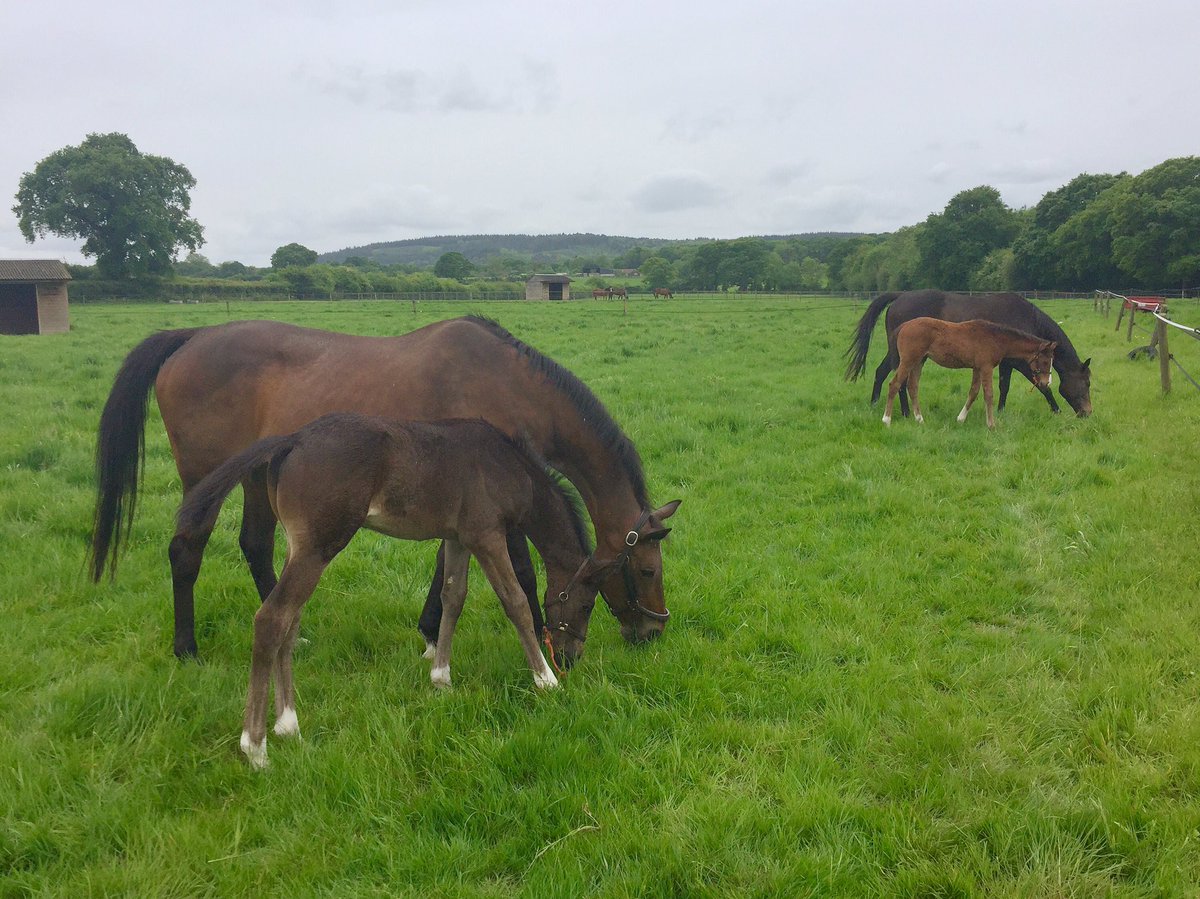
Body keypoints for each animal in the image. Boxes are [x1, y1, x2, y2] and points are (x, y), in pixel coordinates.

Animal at [90, 316, 680, 660]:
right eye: (647, 571)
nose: (654, 634)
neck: (510, 385)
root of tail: (191, 337)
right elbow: (522, 570)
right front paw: (533, 632)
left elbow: (446, 564)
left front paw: (429, 628)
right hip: (204, 479)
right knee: (186, 551)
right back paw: (186, 649)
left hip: (256, 476)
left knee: (255, 545)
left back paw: (293, 637)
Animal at [175, 413, 618, 768]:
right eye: (587, 605)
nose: (571, 658)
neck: (508, 466)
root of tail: (292, 440)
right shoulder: (487, 536)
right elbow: (515, 602)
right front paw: (546, 681)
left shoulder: (458, 537)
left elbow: (453, 597)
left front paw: (441, 677)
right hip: (319, 547)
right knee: (272, 618)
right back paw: (256, 746)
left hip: (299, 547)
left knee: (290, 620)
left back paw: (288, 724)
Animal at [845, 290, 1091, 418]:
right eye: (1087, 383)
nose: (1087, 412)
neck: (1027, 319)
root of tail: (900, 297)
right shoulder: (1021, 362)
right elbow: (1041, 386)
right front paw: (1056, 409)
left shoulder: (1006, 362)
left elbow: (1004, 386)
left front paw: (1000, 410)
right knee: (900, 380)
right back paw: (904, 413)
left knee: (881, 373)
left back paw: (876, 404)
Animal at [882, 318, 1057, 430]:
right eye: (1045, 361)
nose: (1046, 383)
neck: (996, 338)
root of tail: (904, 326)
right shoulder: (986, 367)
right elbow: (988, 394)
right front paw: (991, 425)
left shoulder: (977, 368)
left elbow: (973, 392)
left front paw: (960, 419)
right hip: (908, 361)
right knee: (894, 384)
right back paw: (886, 420)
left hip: (919, 361)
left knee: (913, 387)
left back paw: (920, 420)